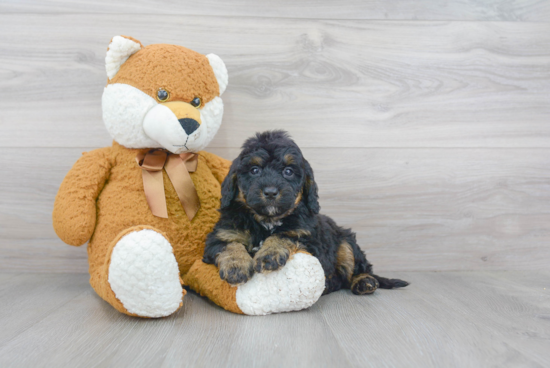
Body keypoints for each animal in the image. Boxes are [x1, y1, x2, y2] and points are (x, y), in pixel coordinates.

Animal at [204, 131, 410, 294]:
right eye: (254, 170)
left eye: (288, 171)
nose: (270, 192)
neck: (267, 220)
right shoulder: (221, 235)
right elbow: (229, 244)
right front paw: (236, 265)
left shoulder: (308, 239)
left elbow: (284, 235)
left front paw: (269, 254)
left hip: (346, 242)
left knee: (357, 266)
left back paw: (364, 281)